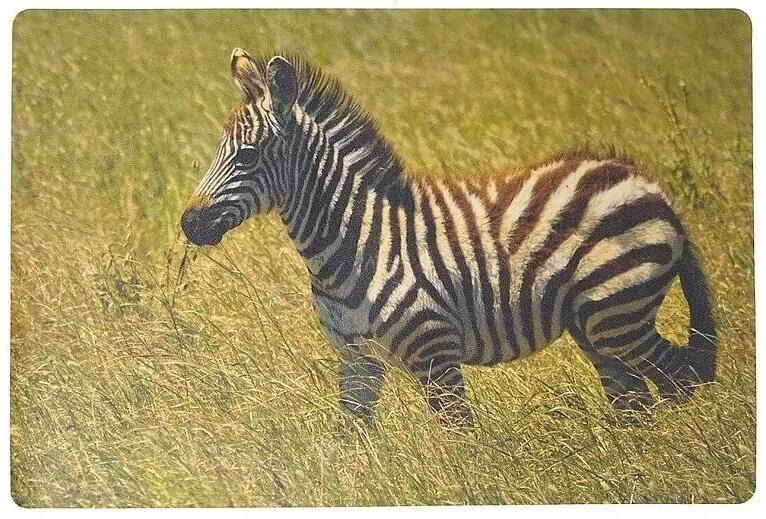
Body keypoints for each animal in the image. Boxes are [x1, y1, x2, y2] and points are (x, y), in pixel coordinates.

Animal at [181, 49, 717, 426]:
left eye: (248, 156)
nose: (189, 224)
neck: (355, 243)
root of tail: (648, 183)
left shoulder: (435, 354)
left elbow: (462, 439)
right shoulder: (355, 362)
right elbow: (349, 443)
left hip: (618, 314)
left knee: (681, 379)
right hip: (594, 324)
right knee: (636, 402)